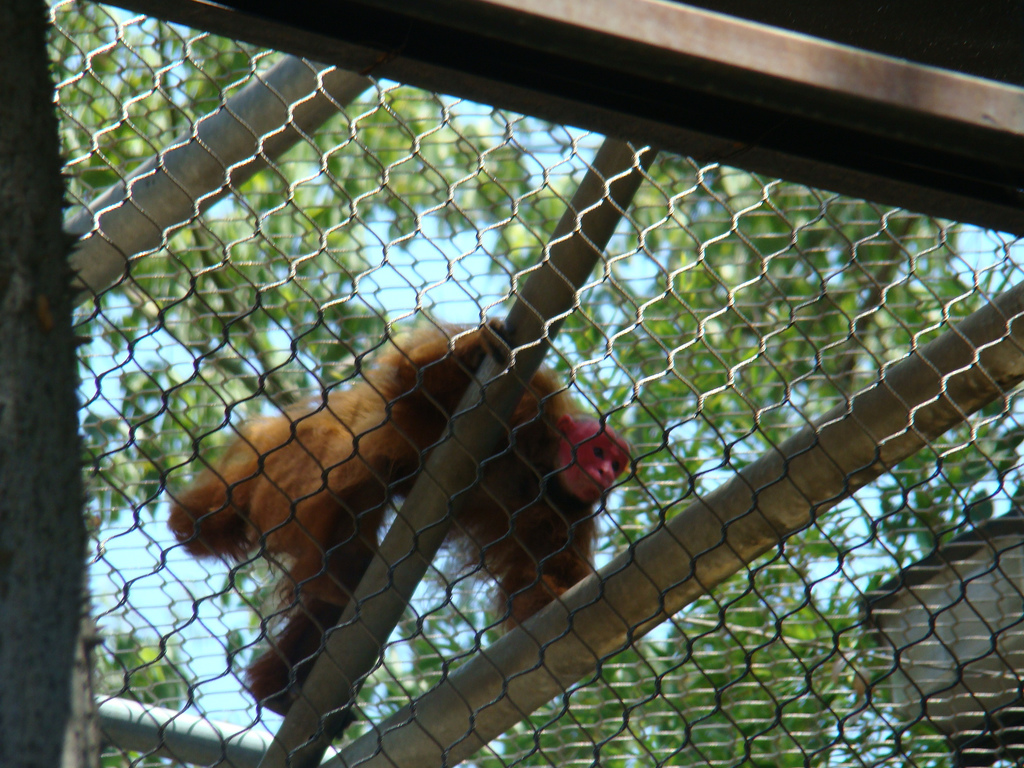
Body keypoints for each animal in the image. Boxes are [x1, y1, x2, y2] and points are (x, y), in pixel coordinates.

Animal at [167, 322, 630, 713]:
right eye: (598, 451)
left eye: (617, 462)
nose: (606, 475)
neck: (540, 468)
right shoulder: (532, 402)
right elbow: (417, 379)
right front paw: (478, 345)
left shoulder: (567, 515)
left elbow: (534, 584)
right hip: (301, 462)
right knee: (371, 458)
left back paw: (281, 686)